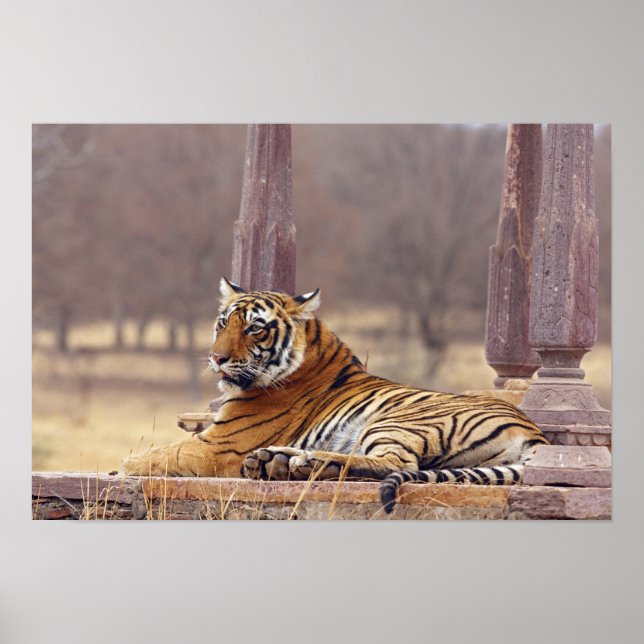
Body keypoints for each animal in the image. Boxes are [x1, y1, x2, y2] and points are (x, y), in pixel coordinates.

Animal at [122, 277, 549, 513]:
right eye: (223, 323)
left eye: (255, 328)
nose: (216, 358)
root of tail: (534, 433)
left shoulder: (221, 445)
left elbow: (155, 455)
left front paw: (125, 467)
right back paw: (279, 461)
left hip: (397, 421)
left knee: (393, 463)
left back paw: (303, 463)